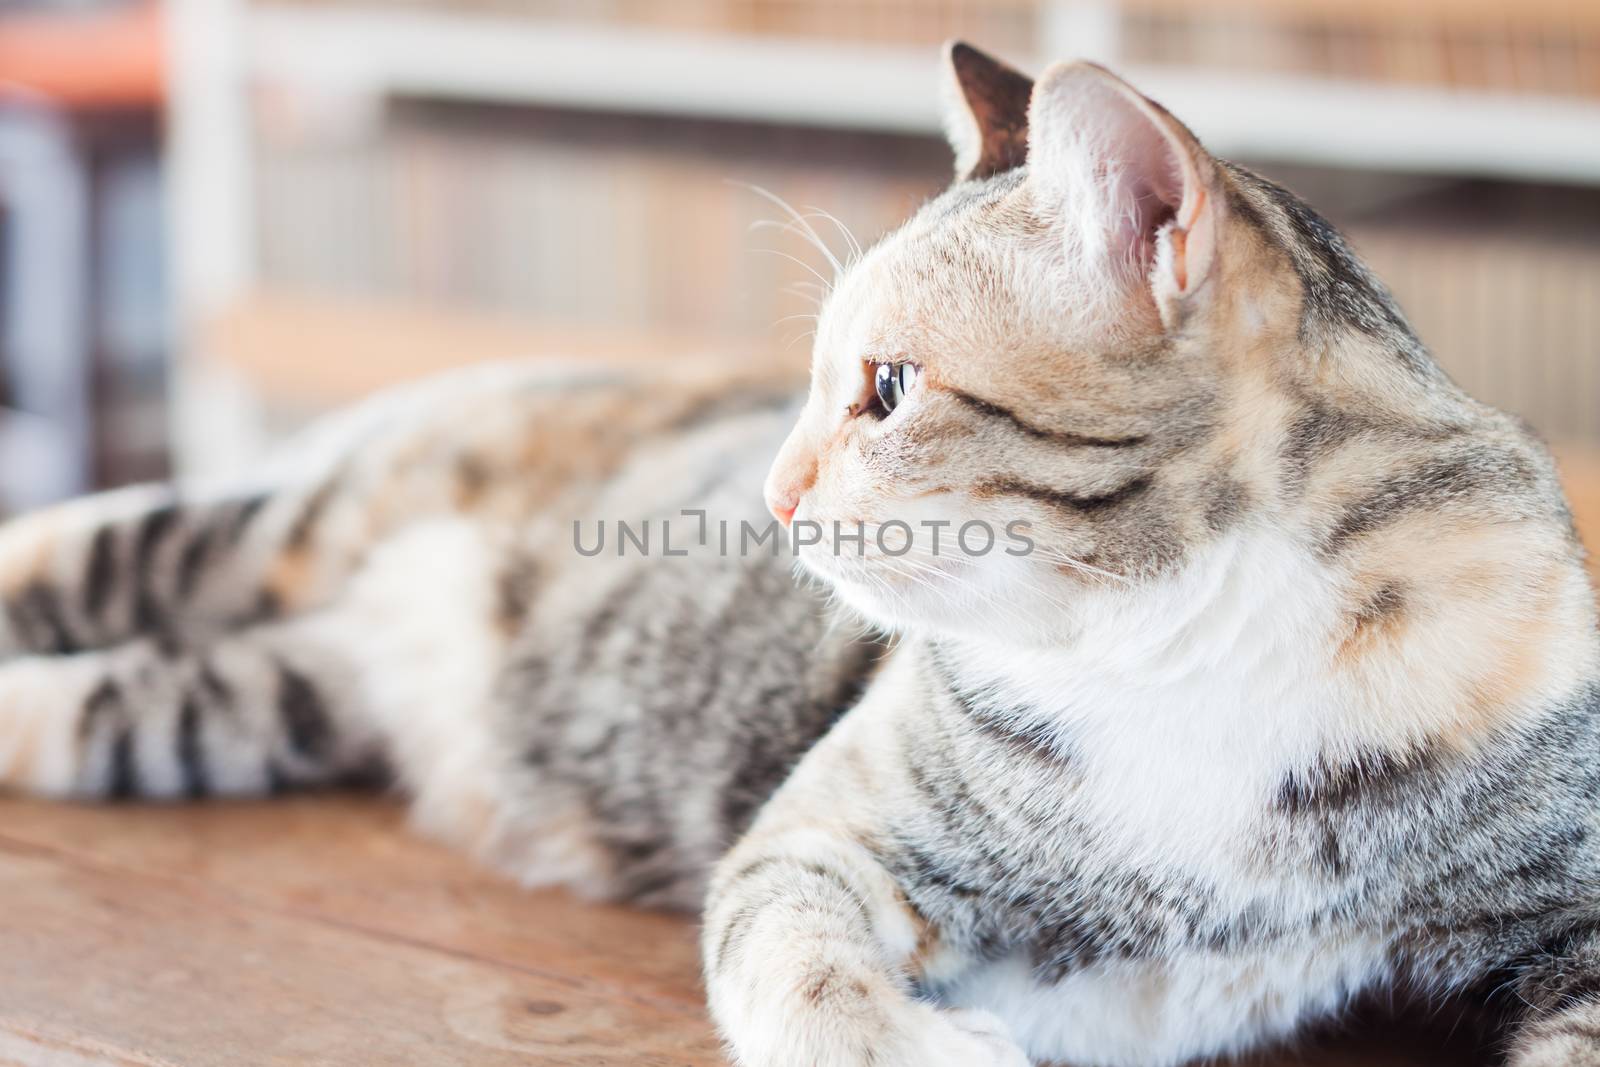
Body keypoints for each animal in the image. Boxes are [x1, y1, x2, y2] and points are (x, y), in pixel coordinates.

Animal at [3, 41, 1600, 1067]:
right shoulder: (823, 831)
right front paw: (933, 1045)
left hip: (251, 701)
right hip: (284, 519)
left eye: (886, 388)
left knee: (113, 700)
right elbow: (802, 973)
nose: (771, 492)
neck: (1181, 640)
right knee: (74, 550)